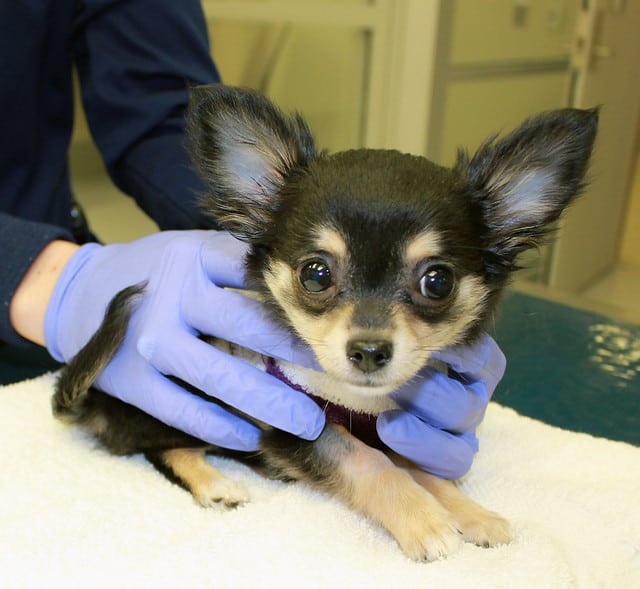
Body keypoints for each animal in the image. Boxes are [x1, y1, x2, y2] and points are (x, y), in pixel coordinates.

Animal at [52, 84, 596, 560]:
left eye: (437, 282)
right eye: (316, 274)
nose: (370, 351)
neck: (362, 404)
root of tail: (93, 395)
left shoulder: (394, 426)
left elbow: (419, 465)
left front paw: (469, 511)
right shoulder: (294, 422)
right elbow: (368, 462)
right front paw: (424, 521)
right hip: (177, 406)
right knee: (162, 449)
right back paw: (216, 483)